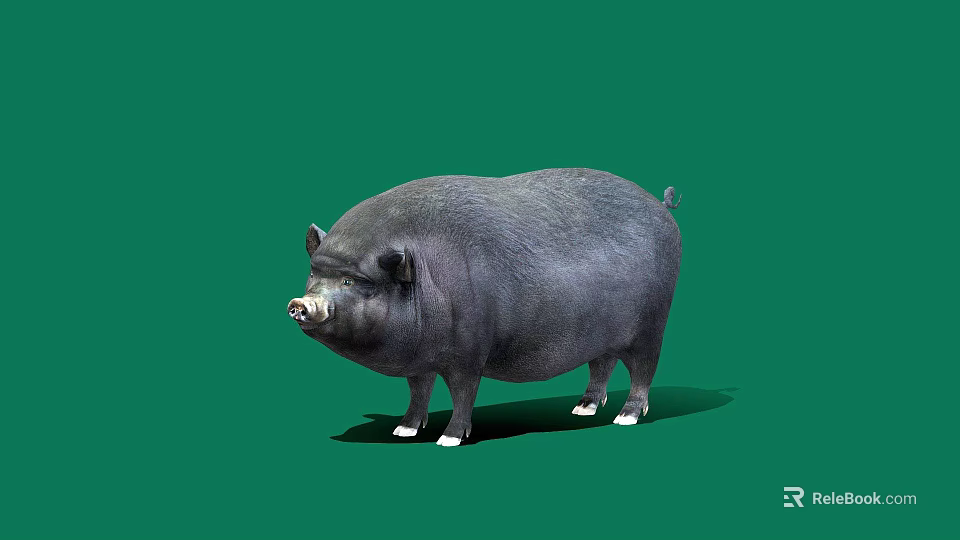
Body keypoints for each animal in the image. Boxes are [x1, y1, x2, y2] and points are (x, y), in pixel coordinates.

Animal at [287, 168, 682, 446]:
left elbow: (464, 393)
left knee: (644, 370)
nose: (299, 303)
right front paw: (404, 430)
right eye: (314, 272)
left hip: (653, 323)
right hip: (603, 337)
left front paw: (447, 439)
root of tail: (662, 207)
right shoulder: (420, 358)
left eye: (351, 281)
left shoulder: (470, 351)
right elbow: (419, 390)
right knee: (602, 364)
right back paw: (582, 409)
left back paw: (625, 417)